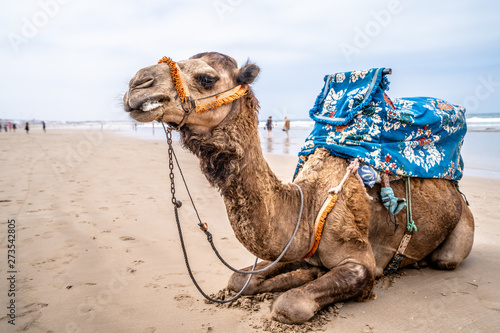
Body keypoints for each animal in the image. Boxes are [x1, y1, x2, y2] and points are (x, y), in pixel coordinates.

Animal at [123, 51, 474, 322]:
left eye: (207, 78)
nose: (137, 83)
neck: (308, 203)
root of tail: (458, 192)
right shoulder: (297, 245)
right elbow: (239, 278)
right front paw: (303, 274)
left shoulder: (361, 259)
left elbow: (291, 303)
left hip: (461, 228)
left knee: (446, 259)